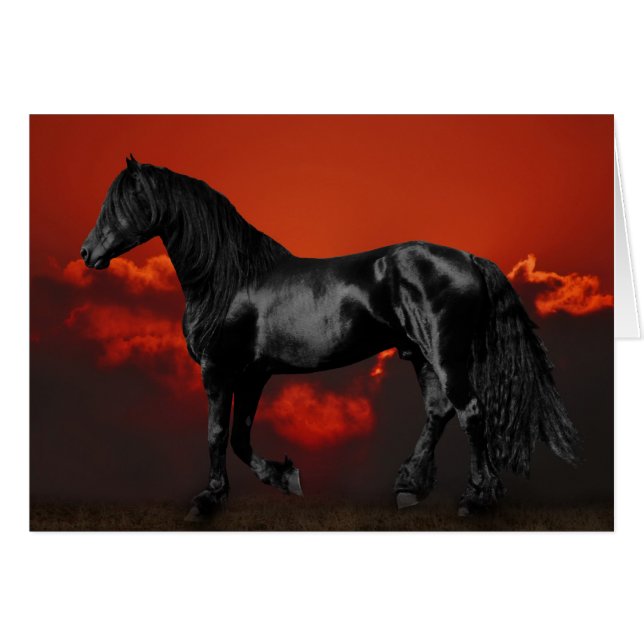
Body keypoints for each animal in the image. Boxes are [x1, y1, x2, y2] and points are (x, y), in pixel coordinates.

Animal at [80, 156, 579, 521]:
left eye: (119, 204)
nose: (87, 253)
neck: (231, 280)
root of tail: (470, 258)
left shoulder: (220, 370)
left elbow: (217, 433)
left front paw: (208, 500)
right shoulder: (254, 374)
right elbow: (240, 437)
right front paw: (286, 477)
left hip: (445, 354)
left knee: (470, 414)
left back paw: (475, 499)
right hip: (420, 355)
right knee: (438, 412)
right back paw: (409, 487)